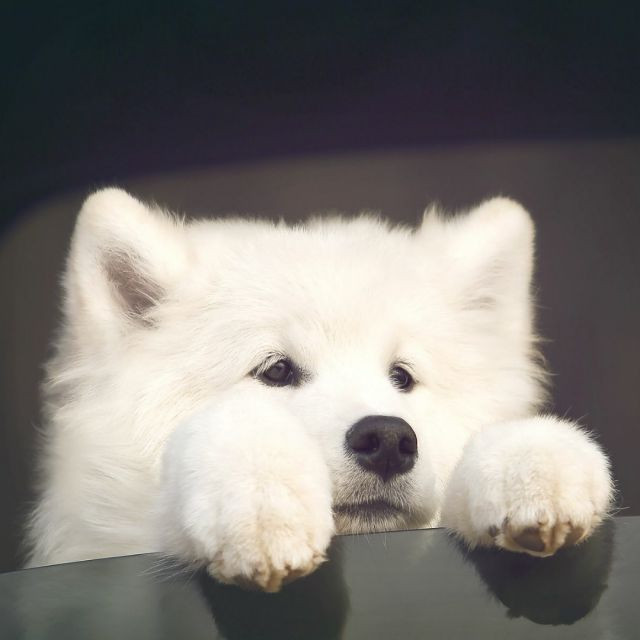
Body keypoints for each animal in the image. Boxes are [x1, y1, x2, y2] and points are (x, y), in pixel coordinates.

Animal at [26, 188, 612, 591]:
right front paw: (263, 509)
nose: (389, 439)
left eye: (402, 377)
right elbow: (235, 438)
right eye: (276, 371)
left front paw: (534, 467)